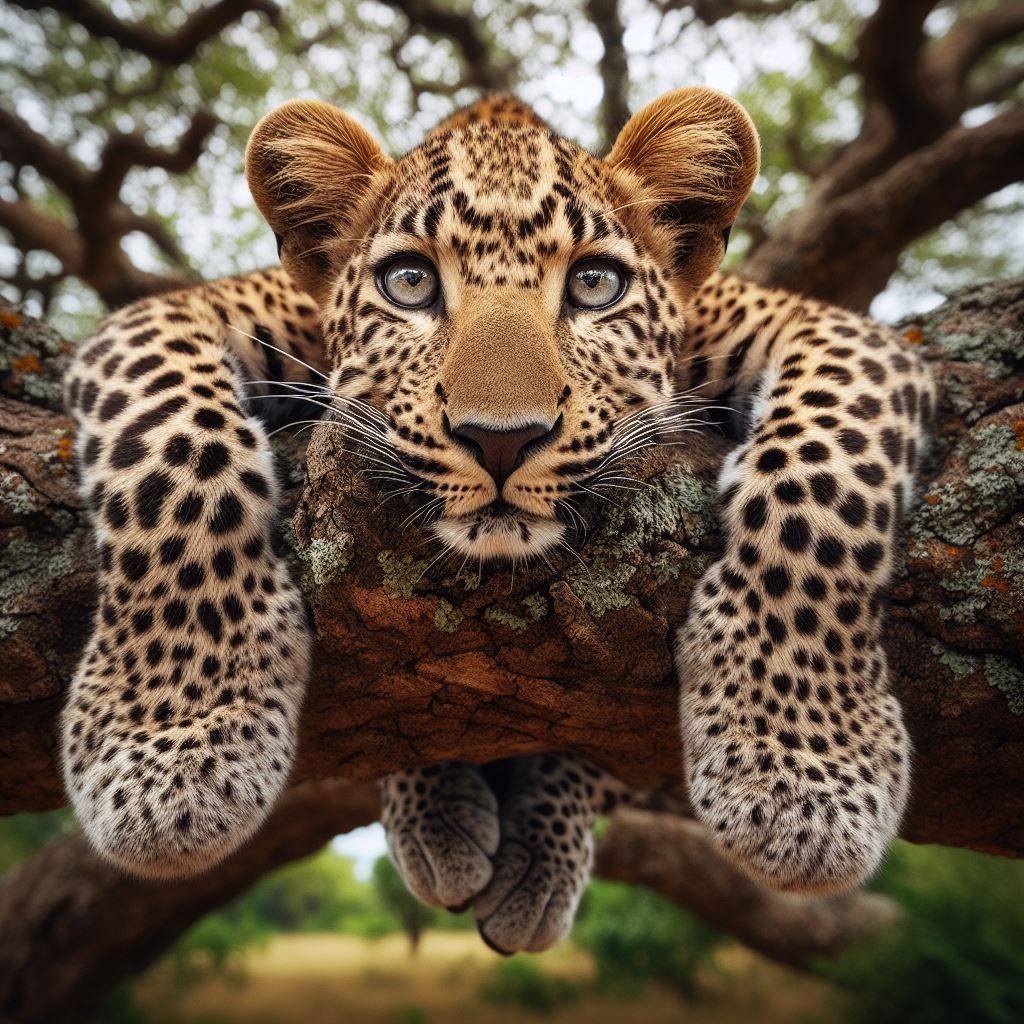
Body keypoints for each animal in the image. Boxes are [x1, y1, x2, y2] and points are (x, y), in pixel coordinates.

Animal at [61, 87, 933, 954]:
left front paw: (802, 773)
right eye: (410, 282)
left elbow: (822, 480)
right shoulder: (174, 315)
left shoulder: (837, 333)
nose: (502, 439)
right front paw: (175, 749)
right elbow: (174, 451)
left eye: (595, 285)